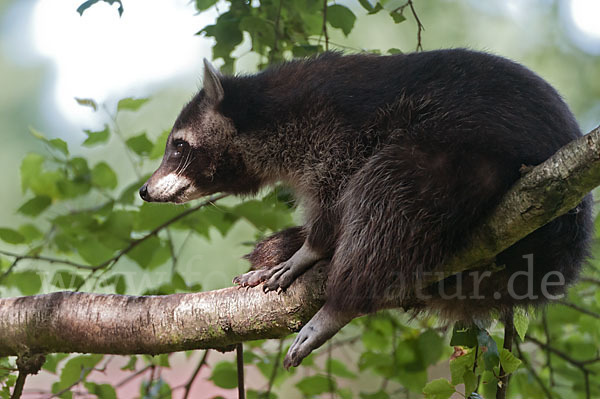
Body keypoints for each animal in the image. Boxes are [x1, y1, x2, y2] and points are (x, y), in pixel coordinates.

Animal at [139, 50, 592, 368]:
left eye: (178, 146)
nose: (144, 190)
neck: (267, 111)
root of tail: (571, 239)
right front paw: (296, 244)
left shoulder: (336, 129)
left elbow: (340, 191)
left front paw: (312, 248)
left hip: (463, 157)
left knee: (386, 195)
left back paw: (340, 303)